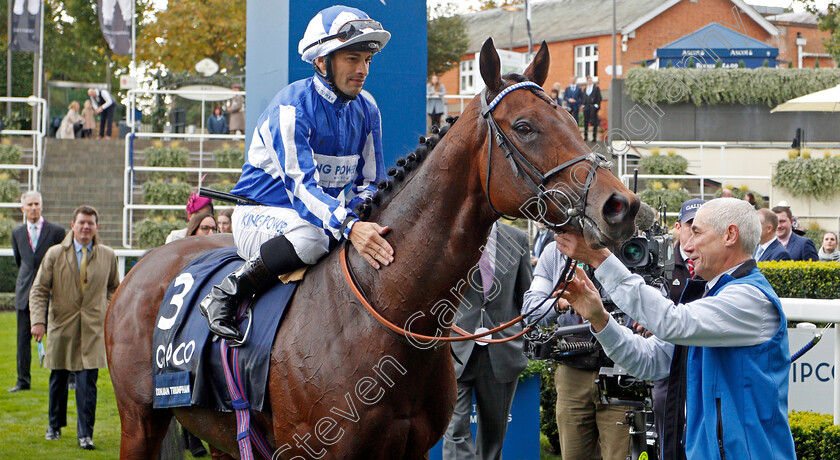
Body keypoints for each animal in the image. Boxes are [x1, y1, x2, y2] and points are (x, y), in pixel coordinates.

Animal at [106, 40, 636, 460]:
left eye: (571, 119)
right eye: (525, 126)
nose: (620, 205)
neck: (384, 311)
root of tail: (141, 266)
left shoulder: (411, 450)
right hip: (139, 421)